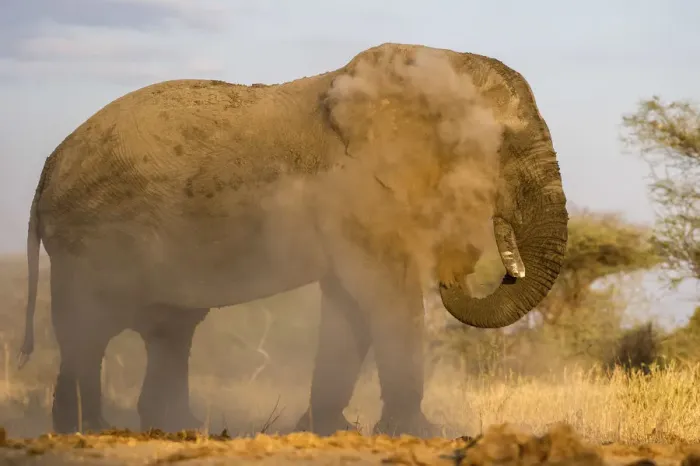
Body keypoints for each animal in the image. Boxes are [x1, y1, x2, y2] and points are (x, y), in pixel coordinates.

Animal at [17, 43, 568, 436]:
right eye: (504, 144)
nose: (460, 270)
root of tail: (47, 166)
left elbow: (349, 309)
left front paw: (329, 429)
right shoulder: (356, 192)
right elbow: (384, 295)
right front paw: (420, 434)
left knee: (168, 330)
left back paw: (171, 426)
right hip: (89, 237)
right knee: (89, 329)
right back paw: (90, 430)